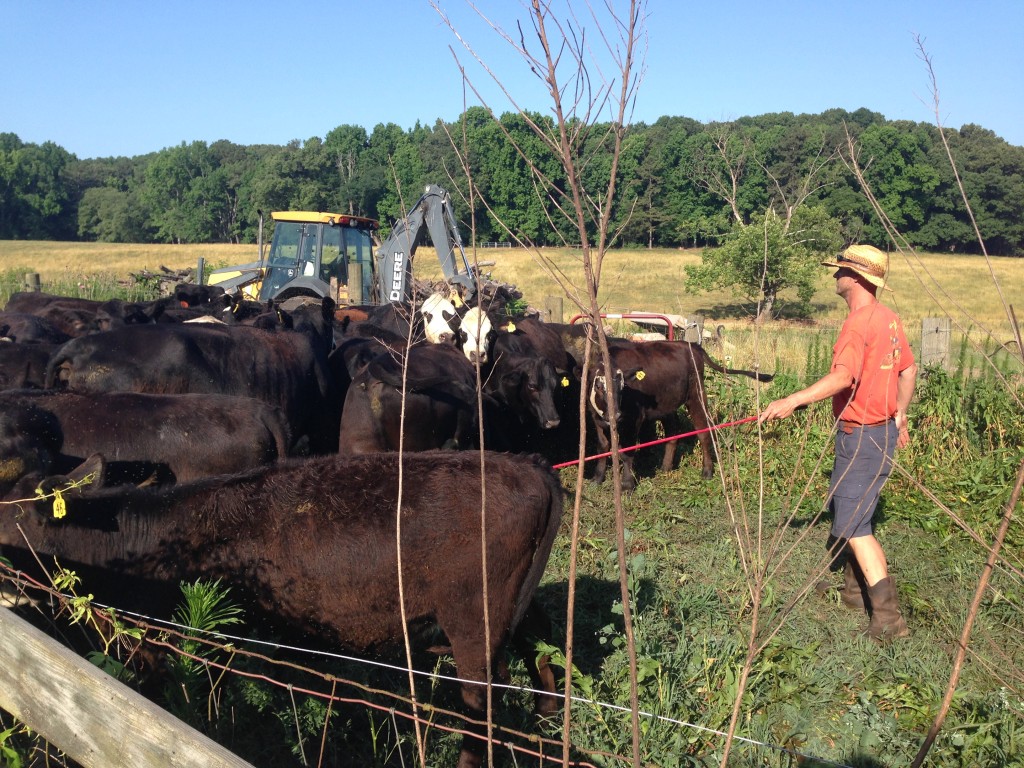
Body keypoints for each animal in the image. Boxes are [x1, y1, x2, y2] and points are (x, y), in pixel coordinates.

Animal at [589, 339, 770, 489]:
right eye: (598, 387)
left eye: (622, 387)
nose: (615, 415)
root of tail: (691, 344)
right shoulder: (596, 418)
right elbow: (602, 446)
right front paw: (597, 478)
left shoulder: (635, 419)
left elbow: (627, 451)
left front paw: (627, 484)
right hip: (667, 405)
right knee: (673, 432)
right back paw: (666, 467)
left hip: (696, 395)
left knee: (703, 432)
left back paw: (707, 471)